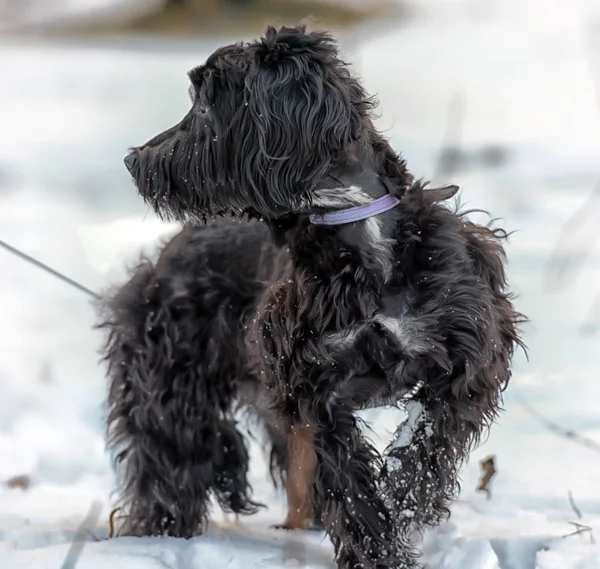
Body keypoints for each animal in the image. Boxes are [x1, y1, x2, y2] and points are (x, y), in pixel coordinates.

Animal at [101, 25, 528, 568]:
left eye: (206, 102)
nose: (134, 160)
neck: (358, 234)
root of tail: (163, 258)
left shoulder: (468, 362)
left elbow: (424, 444)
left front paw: (405, 505)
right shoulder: (317, 392)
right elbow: (350, 484)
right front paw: (380, 551)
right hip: (171, 384)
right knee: (169, 467)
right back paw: (153, 540)